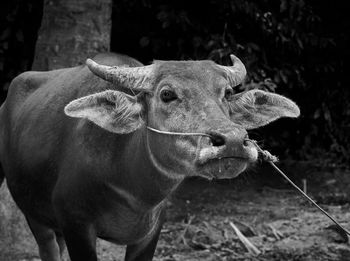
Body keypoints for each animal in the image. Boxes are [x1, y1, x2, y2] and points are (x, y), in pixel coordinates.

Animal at [0, 52, 300, 258]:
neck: (131, 191)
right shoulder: (76, 224)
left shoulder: (150, 233)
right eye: (167, 94)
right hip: (35, 217)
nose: (233, 141)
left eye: (226, 93)